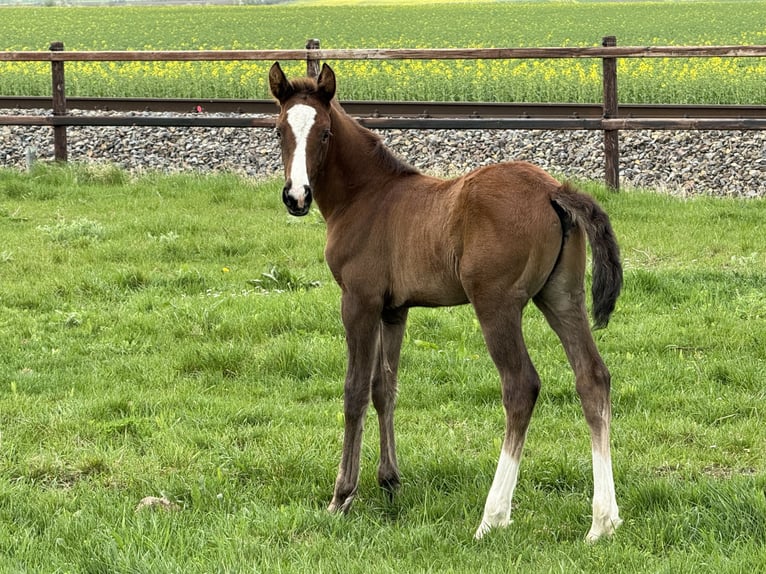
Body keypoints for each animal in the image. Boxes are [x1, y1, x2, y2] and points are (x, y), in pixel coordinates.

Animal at [268, 63, 624, 544]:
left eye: (323, 132)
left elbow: (355, 391)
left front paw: (342, 496)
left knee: (521, 386)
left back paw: (493, 517)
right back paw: (602, 521)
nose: (297, 196)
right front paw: (390, 483)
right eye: (280, 129)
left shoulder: (359, 302)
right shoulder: (394, 310)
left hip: (495, 304)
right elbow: (385, 389)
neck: (368, 197)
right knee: (592, 378)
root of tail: (554, 189)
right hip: (561, 298)